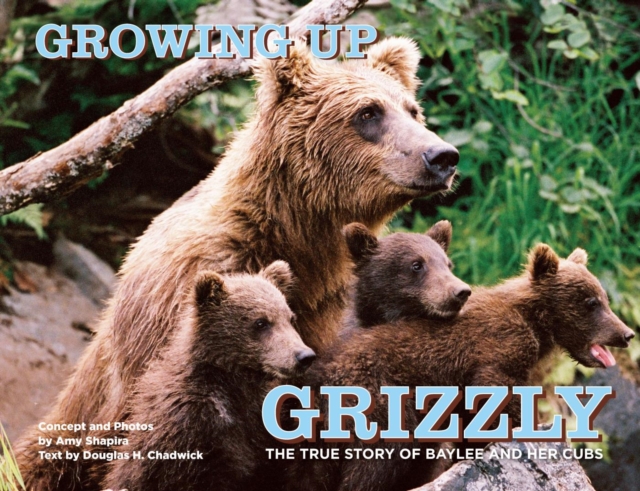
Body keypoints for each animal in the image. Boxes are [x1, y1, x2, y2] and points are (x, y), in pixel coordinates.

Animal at [284, 243, 635, 491]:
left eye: (604, 298)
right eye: (591, 302)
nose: (627, 333)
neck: (534, 322)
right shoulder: (496, 349)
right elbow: (497, 391)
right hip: (375, 400)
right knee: (376, 461)